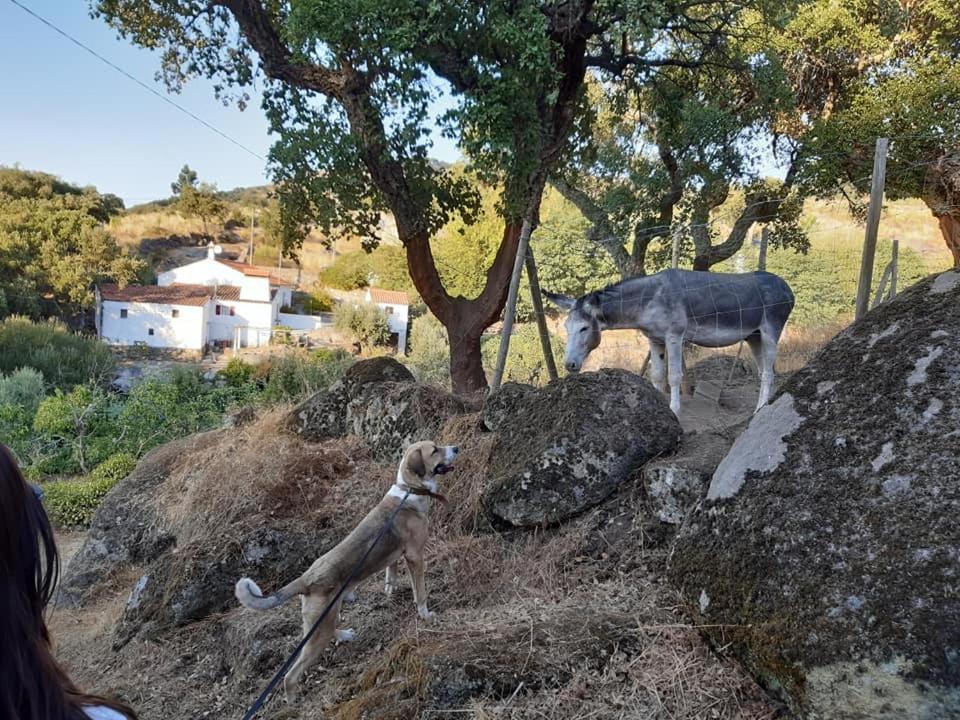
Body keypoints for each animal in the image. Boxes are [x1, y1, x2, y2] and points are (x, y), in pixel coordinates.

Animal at [233, 438, 458, 704]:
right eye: (434, 450)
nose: (456, 448)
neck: (409, 490)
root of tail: (306, 578)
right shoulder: (415, 556)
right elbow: (420, 593)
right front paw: (425, 615)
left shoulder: (396, 556)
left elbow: (390, 574)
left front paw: (389, 592)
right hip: (319, 630)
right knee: (291, 674)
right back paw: (293, 701)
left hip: (325, 619)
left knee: (328, 632)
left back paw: (344, 636)